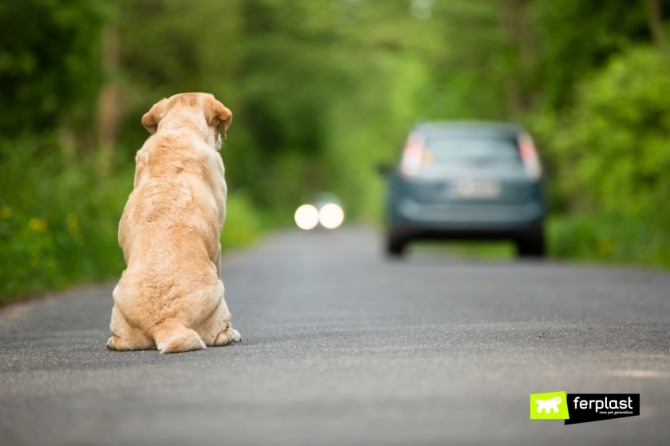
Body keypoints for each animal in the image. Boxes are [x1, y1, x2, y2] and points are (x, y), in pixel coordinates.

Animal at [105, 92, 242, 354]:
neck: (180, 128)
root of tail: (166, 322)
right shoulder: (217, 247)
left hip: (118, 303)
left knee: (120, 341)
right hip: (219, 296)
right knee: (220, 333)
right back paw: (232, 334)